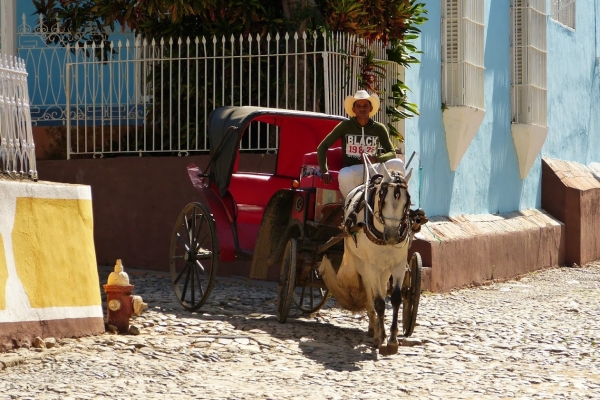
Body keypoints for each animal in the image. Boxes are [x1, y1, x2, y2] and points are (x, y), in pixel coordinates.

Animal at [318, 161, 412, 354]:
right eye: (383, 199)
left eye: (407, 202)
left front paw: (392, 339)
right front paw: (380, 339)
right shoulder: (371, 266)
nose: (392, 235)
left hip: (384, 269)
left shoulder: (398, 265)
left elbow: (396, 298)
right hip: (363, 265)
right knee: (371, 293)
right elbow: (379, 301)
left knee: (381, 289)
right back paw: (374, 329)